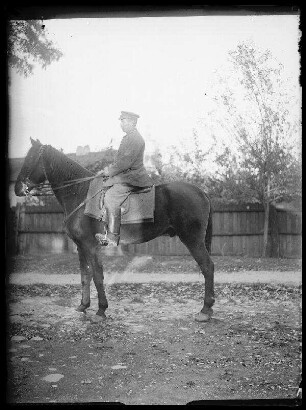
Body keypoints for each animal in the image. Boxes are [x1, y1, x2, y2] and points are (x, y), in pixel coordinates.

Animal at [14, 139, 215, 322]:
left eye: (31, 159)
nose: (17, 189)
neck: (81, 193)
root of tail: (201, 192)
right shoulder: (81, 247)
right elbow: (85, 275)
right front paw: (83, 305)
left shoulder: (91, 246)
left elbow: (97, 276)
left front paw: (101, 310)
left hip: (193, 240)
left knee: (207, 267)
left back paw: (205, 310)